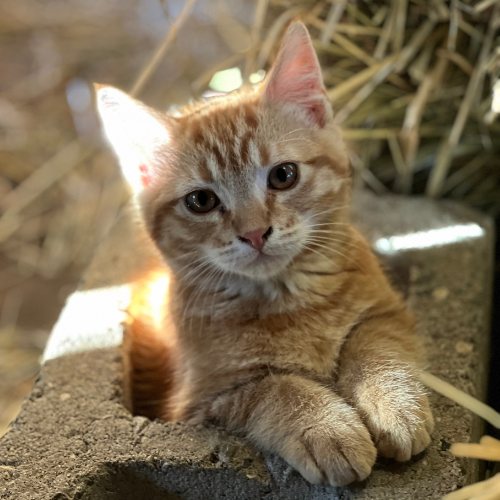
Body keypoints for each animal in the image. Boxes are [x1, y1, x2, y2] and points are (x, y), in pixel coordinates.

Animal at [96, 21, 434, 486]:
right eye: (201, 201)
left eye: (283, 175)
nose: (255, 233)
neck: (286, 300)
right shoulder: (203, 401)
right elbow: (275, 388)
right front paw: (325, 426)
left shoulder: (387, 311)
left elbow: (374, 344)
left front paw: (395, 404)